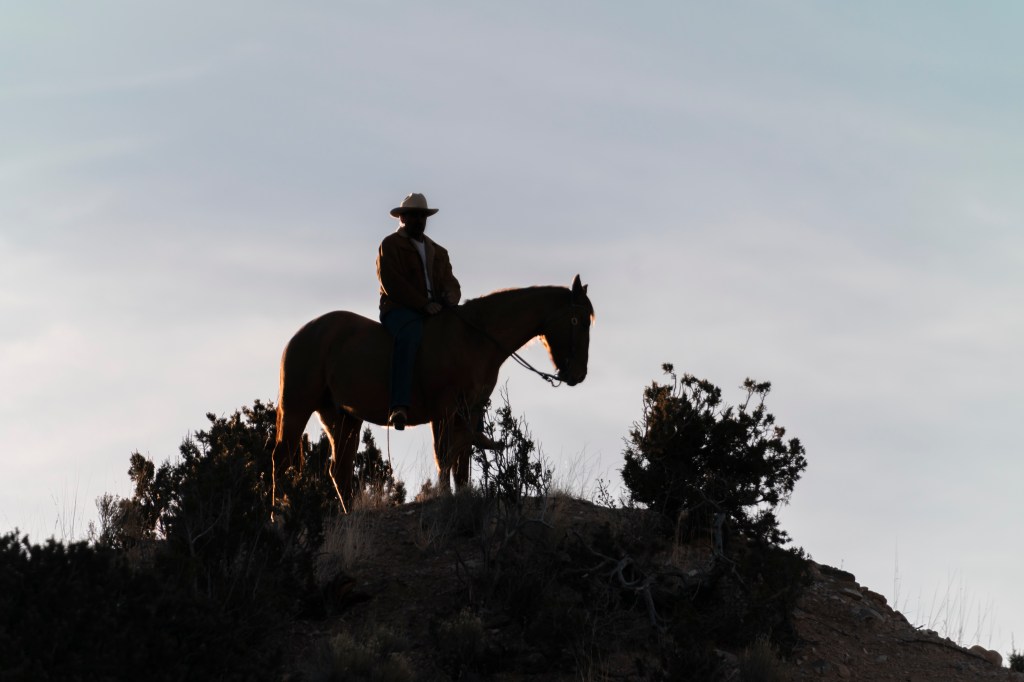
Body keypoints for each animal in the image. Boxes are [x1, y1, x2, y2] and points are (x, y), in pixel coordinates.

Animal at [268, 270, 598, 509]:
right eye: (580, 320)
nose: (578, 374)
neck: (474, 339)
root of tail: (302, 334)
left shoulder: (468, 413)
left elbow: (461, 462)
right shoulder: (445, 410)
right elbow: (444, 456)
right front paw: (443, 496)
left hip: (343, 418)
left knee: (340, 472)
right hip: (297, 408)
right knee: (281, 459)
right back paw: (277, 516)